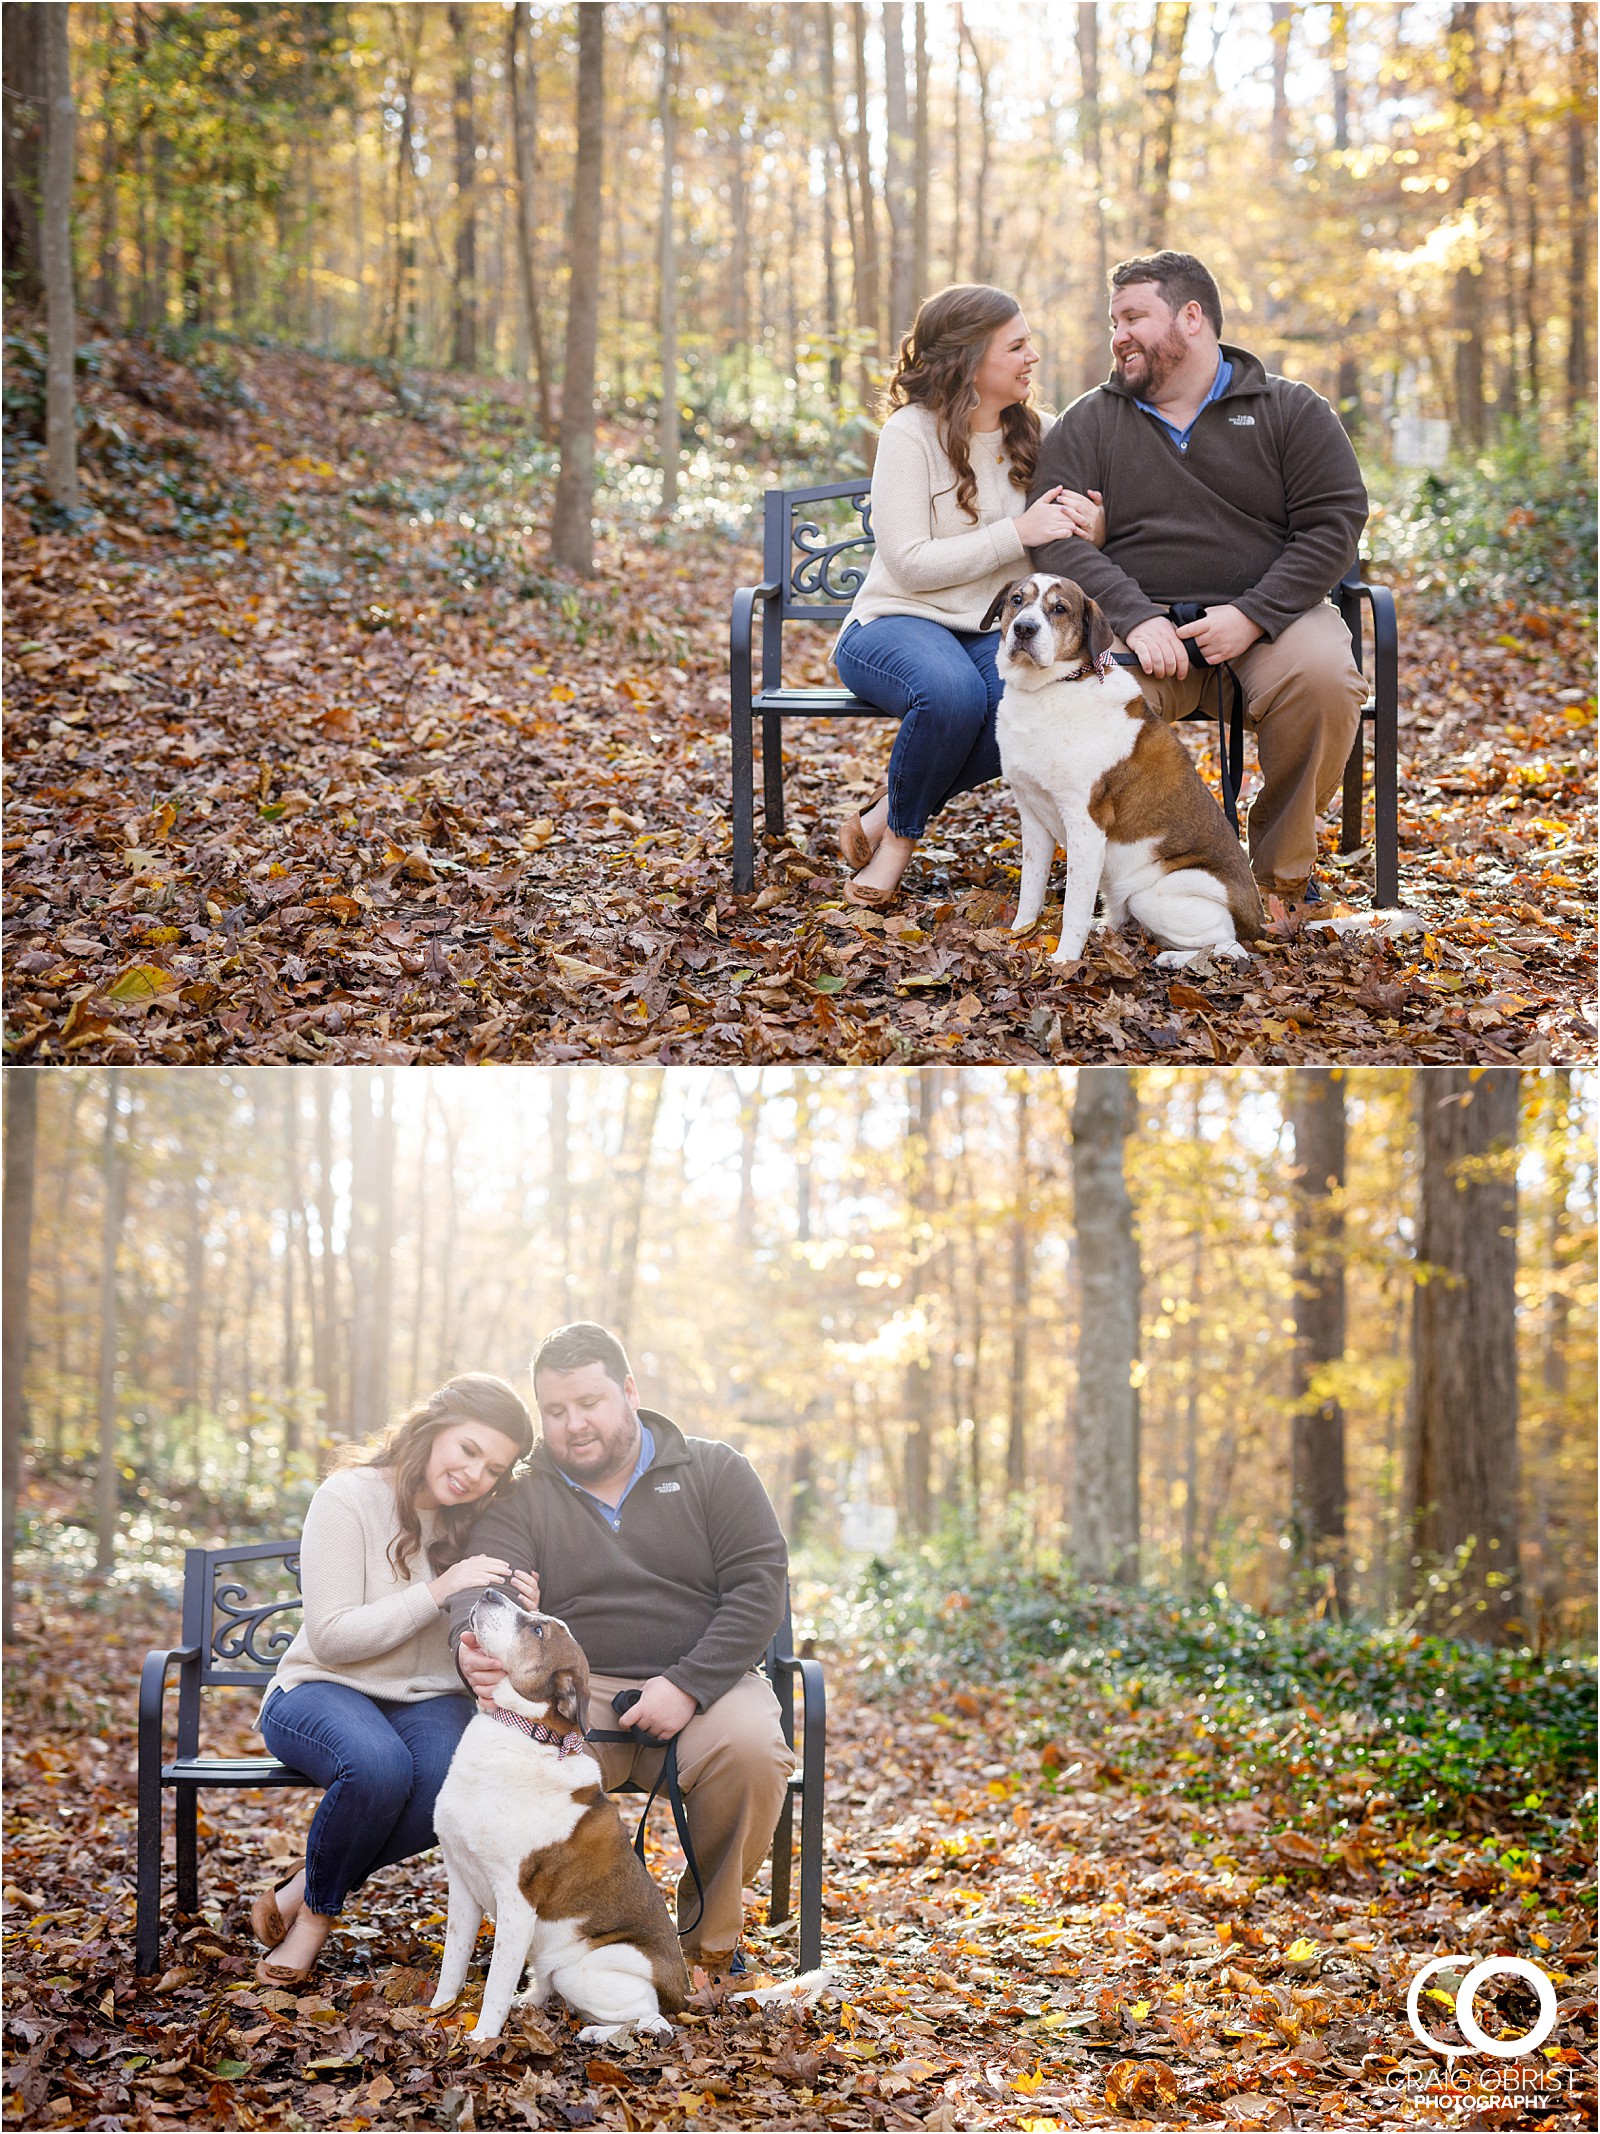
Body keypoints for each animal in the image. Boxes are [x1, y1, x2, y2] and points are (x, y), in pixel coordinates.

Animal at [433, 1596, 691, 2040]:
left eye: (538, 1631)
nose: (489, 1592)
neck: (525, 1731)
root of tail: (682, 1995)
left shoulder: (517, 1904)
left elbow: (495, 1984)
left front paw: (482, 2038)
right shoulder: (463, 1885)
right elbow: (453, 1963)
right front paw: (434, 2012)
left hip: (586, 1972)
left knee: (654, 2021)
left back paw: (599, 2033)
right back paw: (532, 2001)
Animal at [985, 567, 1271, 968]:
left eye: (1059, 609)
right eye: (1016, 600)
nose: (1025, 628)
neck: (1051, 687)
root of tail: (1258, 924)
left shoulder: (1086, 826)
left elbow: (1074, 905)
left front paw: (1065, 958)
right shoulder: (1033, 817)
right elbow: (1031, 887)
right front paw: (1018, 934)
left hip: (1154, 895)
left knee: (1231, 946)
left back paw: (1175, 958)